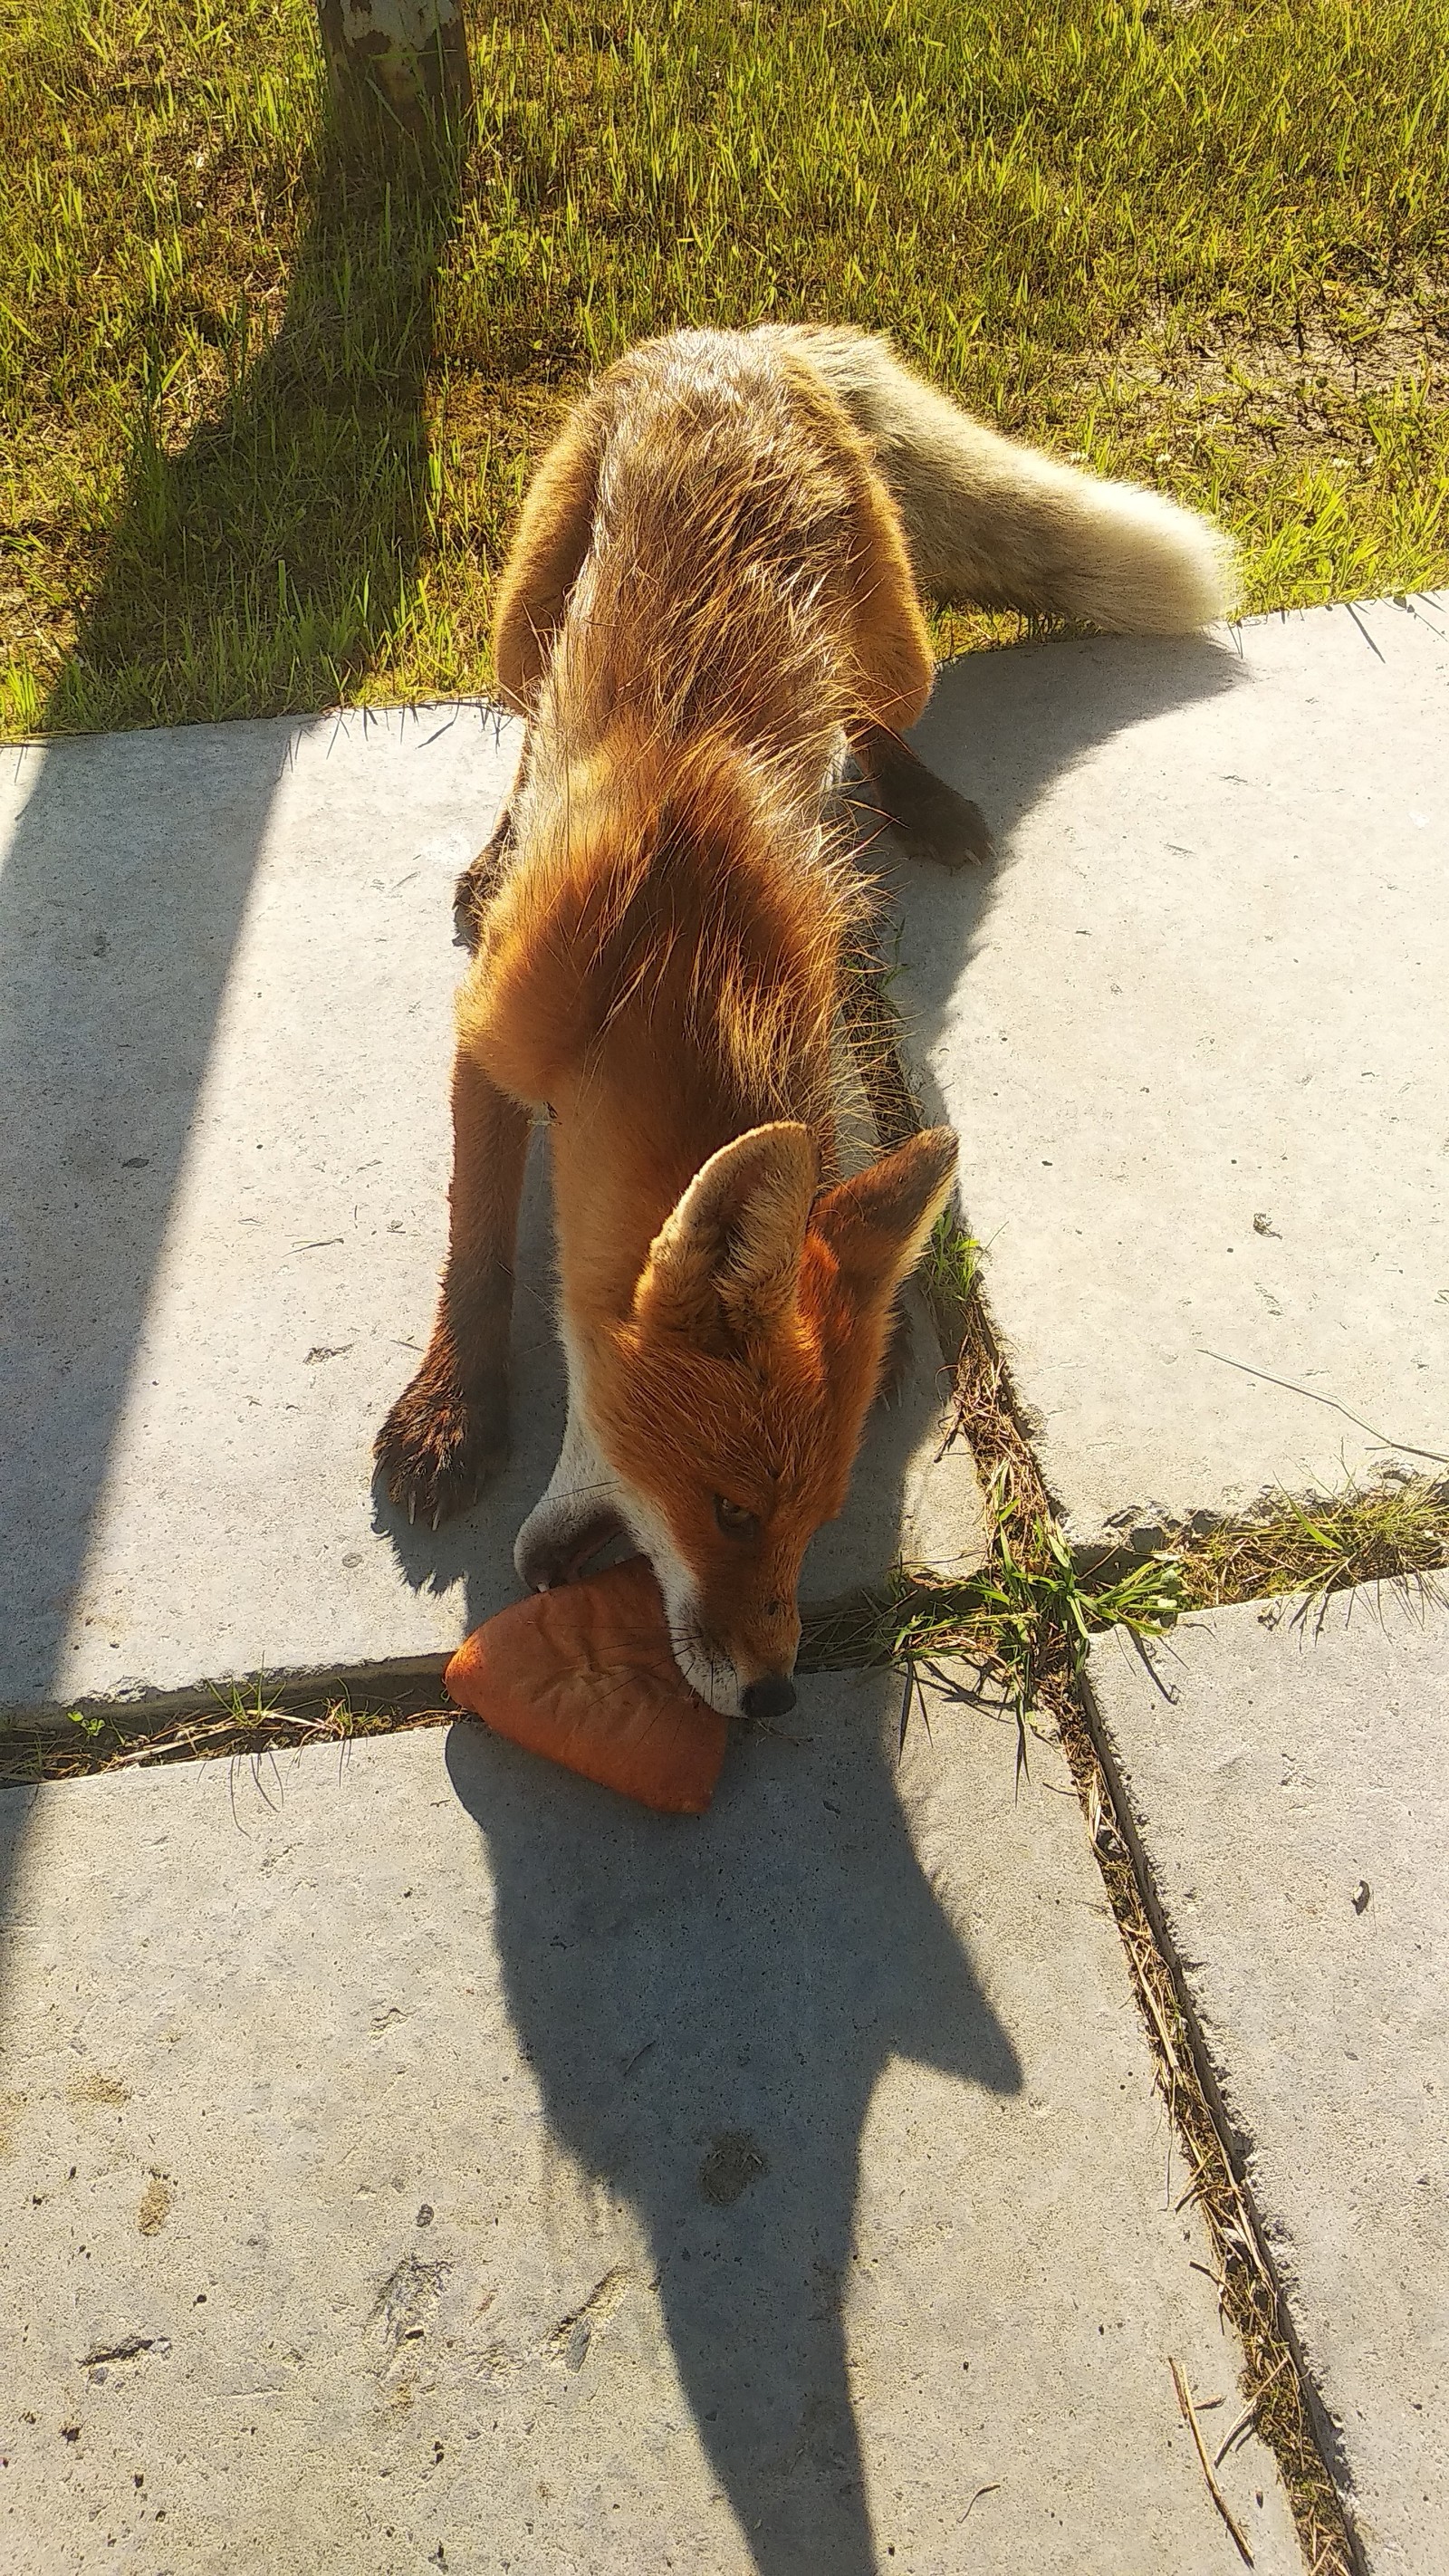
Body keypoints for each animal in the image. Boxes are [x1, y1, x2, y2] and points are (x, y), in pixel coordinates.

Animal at [378, 332, 1235, 1720]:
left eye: (810, 1525)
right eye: (729, 1512)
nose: (778, 1697)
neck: (664, 969)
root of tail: (738, 338)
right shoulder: (492, 1039)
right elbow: (478, 1245)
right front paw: (454, 1407)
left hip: (897, 645)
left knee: (864, 708)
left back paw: (919, 796)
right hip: (519, 614)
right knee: (531, 714)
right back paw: (499, 844)